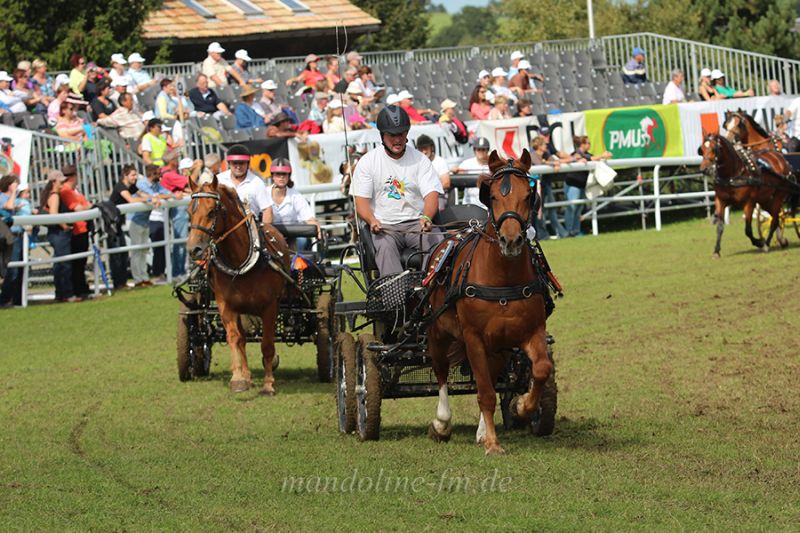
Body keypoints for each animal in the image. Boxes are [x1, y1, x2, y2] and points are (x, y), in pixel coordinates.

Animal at [187, 175, 291, 394]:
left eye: (212, 211)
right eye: (189, 212)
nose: (193, 249)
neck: (240, 263)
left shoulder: (270, 307)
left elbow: (267, 344)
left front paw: (268, 383)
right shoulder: (226, 306)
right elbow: (234, 338)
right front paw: (238, 378)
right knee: (242, 339)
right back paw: (247, 376)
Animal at [425, 149, 552, 455]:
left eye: (528, 196)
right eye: (492, 196)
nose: (511, 240)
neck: (502, 278)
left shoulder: (531, 332)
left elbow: (541, 369)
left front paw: (522, 406)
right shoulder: (473, 338)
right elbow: (484, 392)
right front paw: (493, 444)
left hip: (499, 348)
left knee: (492, 379)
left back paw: (483, 429)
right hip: (438, 332)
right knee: (441, 371)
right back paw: (441, 424)